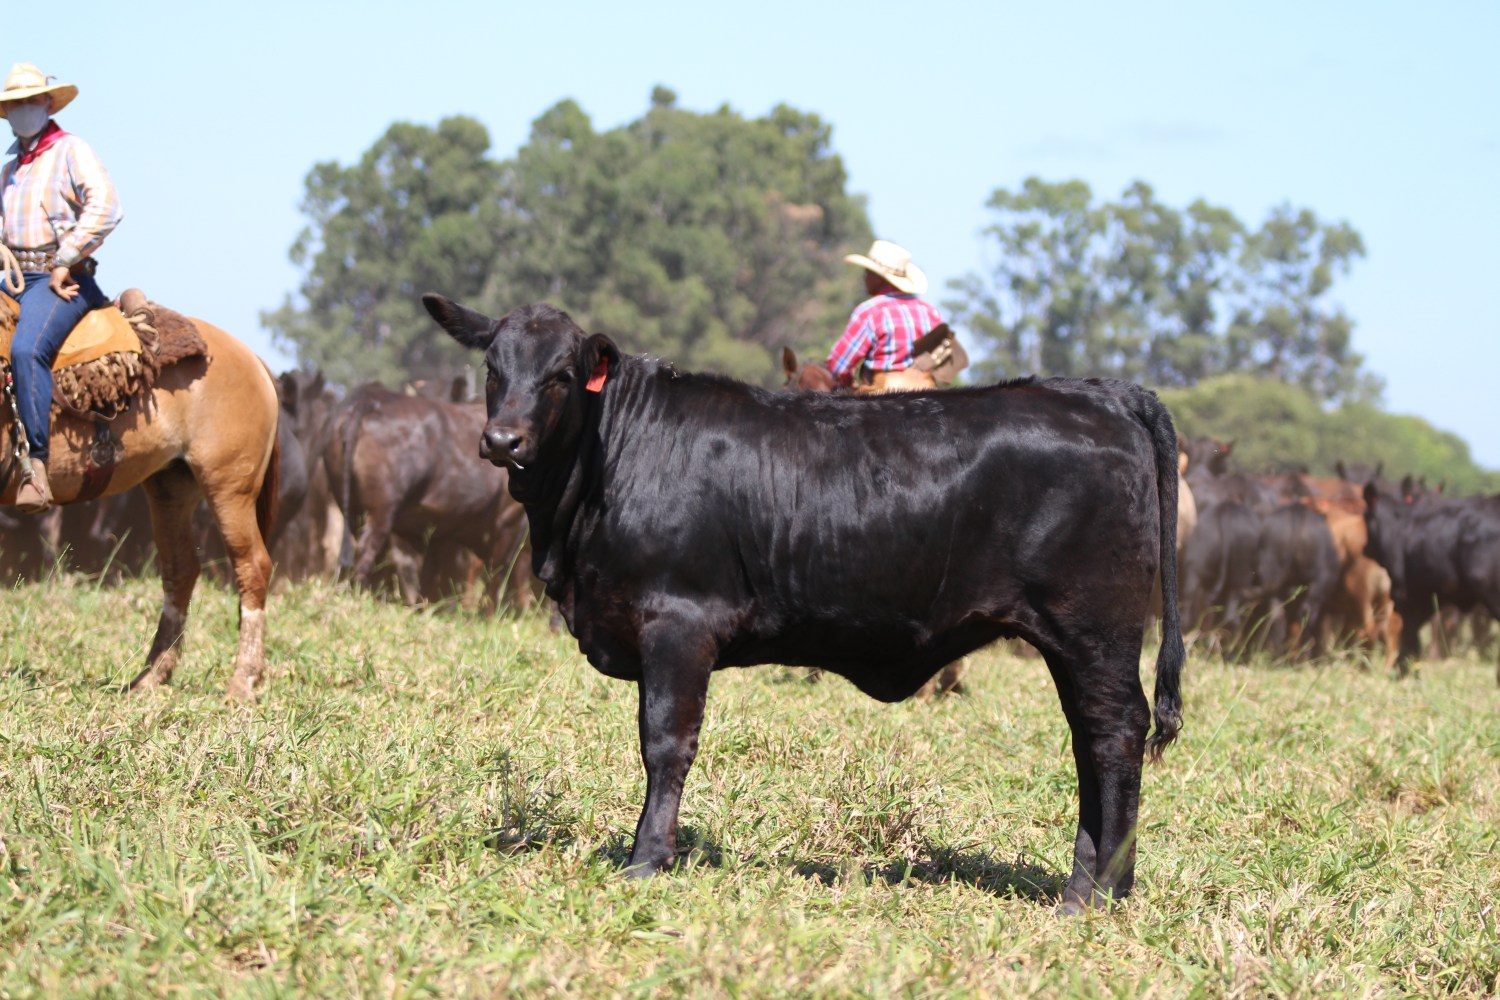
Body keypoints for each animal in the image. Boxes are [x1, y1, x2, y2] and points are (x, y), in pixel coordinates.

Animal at [2, 250, 282, 704]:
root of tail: (252, 359)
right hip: (171, 485)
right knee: (180, 570)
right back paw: (151, 677)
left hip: (229, 486)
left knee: (251, 567)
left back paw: (242, 681)